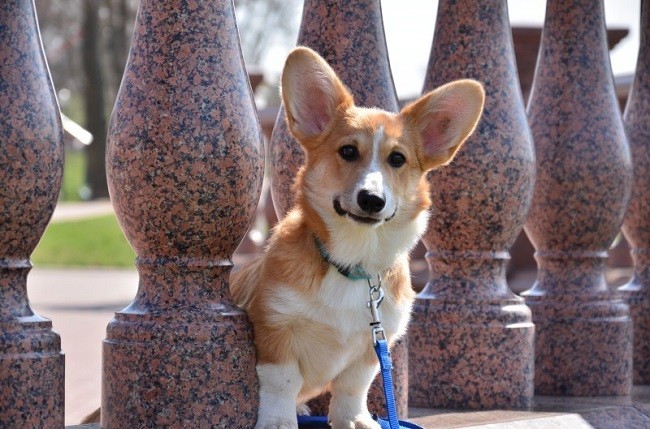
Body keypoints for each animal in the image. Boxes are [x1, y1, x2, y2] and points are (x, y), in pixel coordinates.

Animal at [230, 46, 484, 428]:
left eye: (398, 159)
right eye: (348, 151)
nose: (372, 199)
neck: (354, 260)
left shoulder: (375, 341)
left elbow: (354, 385)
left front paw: (354, 420)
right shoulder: (275, 327)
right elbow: (282, 381)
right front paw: (279, 420)